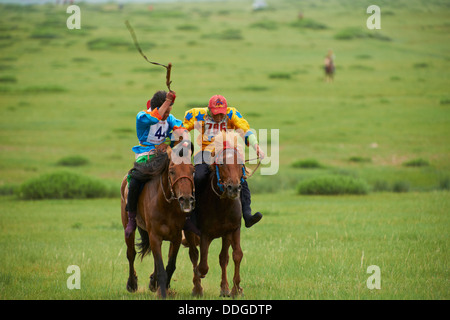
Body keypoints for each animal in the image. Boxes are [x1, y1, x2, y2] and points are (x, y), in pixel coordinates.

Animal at [120, 142, 194, 298]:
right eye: (172, 171)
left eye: (193, 170)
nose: (186, 200)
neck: (166, 204)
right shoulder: (154, 236)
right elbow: (161, 270)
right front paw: (162, 293)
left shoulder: (176, 237)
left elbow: (170, 266)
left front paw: (162, 288)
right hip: (128, 227)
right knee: (131, 254)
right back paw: (132, 284)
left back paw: (153, 283)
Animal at [184, 132, 246, 298]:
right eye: (222, 163)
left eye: (240, 164)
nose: (233, 188)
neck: (222, 206)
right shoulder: (205, 233)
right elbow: (203, 264)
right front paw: (199, 276)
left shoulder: (233, 230)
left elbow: (236, 255)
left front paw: (235, 289)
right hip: (190, 232)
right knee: (194, 255)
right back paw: (197, 289)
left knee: (223, 258)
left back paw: (224, 288)